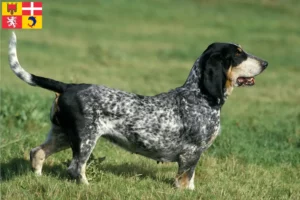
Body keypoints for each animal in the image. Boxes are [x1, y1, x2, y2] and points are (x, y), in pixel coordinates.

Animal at [8, 32, 268, 189]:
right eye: (239, 53)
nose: (266, 63)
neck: (199, 95)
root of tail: (67, 86)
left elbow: (191, 180)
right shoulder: (191, 154)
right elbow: (184, 181)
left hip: (62, 134)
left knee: (37, 152)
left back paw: (38, 178)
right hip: (85, 139)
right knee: (75, 168)